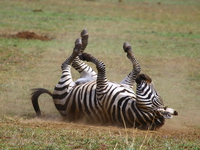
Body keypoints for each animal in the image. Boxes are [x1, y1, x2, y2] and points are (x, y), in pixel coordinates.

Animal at [31, 29, 178, 130]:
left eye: (156, 96)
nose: (146, 77)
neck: (131, 104)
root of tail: (53, 96)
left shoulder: (101, 89)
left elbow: (102, 66)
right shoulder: (126, 84)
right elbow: (136, 67)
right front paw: (128, 48)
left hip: (65, 84)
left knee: (67, 63)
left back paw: (80, 45)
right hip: (90, 75)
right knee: (76, 60)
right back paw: (84, 41)